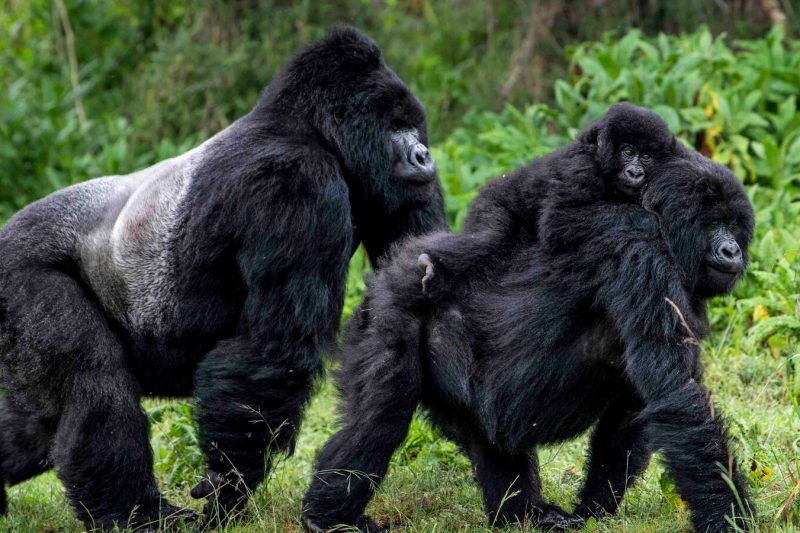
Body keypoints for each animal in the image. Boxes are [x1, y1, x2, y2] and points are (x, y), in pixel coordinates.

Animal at [0, 26, 446, 528]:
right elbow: (272, 350)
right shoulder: (294, 183)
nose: (424, 156)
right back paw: (139, 514)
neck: (312, 130)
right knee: (93, 386)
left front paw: (335, 502)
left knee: (37, 423)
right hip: (19, 272)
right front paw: (230, 482)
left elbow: (400, 314)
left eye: (413, 124)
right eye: (394, 126)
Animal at [304, 155, 752, 532]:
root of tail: (391, 267)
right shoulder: (645, 259)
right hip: (392, 308)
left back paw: (523, 515)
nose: (732, 250)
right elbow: (676, 393)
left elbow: (635, 411)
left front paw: (592, 510)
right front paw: (730, 516)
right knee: (381, 415)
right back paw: (327, 518)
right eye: (713, 223)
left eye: (734, 226)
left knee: (492, 437)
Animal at [416, 102, 684, 298]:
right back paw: (435, 267)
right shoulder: (581, 170)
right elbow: (559, 220)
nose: (636, 173)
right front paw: (648, 219)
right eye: (628, 152)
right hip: (488, 201)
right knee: (488, 236)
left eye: (646, 157)